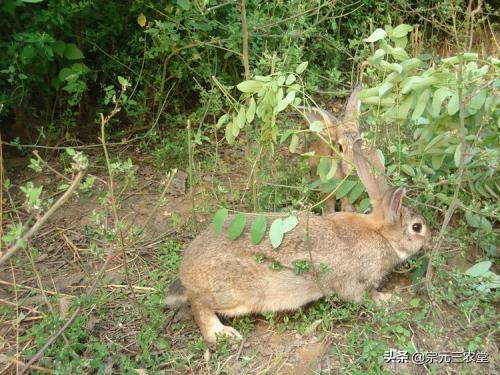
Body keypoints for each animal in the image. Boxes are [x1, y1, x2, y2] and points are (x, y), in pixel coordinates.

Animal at [166, 140, 432, 346]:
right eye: (416, 227)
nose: (428, 239)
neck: (381, 235)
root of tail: (186, 273)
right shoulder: (356, 283)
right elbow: (366, 296)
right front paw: (388, 299)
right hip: (237, 294)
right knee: (199, 304)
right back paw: (221, 334)